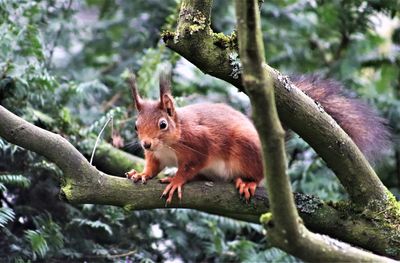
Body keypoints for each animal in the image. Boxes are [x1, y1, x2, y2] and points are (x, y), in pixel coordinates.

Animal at [126, 73, 390, 205]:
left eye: (163, 124)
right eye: (136, 125)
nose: (145, 143)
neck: (170, 142)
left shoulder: (200, 143)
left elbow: (190, 166)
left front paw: (176, 180)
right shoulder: (156, 155)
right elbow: (153, 166)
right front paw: (141, 174)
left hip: (246, 151)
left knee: (256, 174)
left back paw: (247, 182)